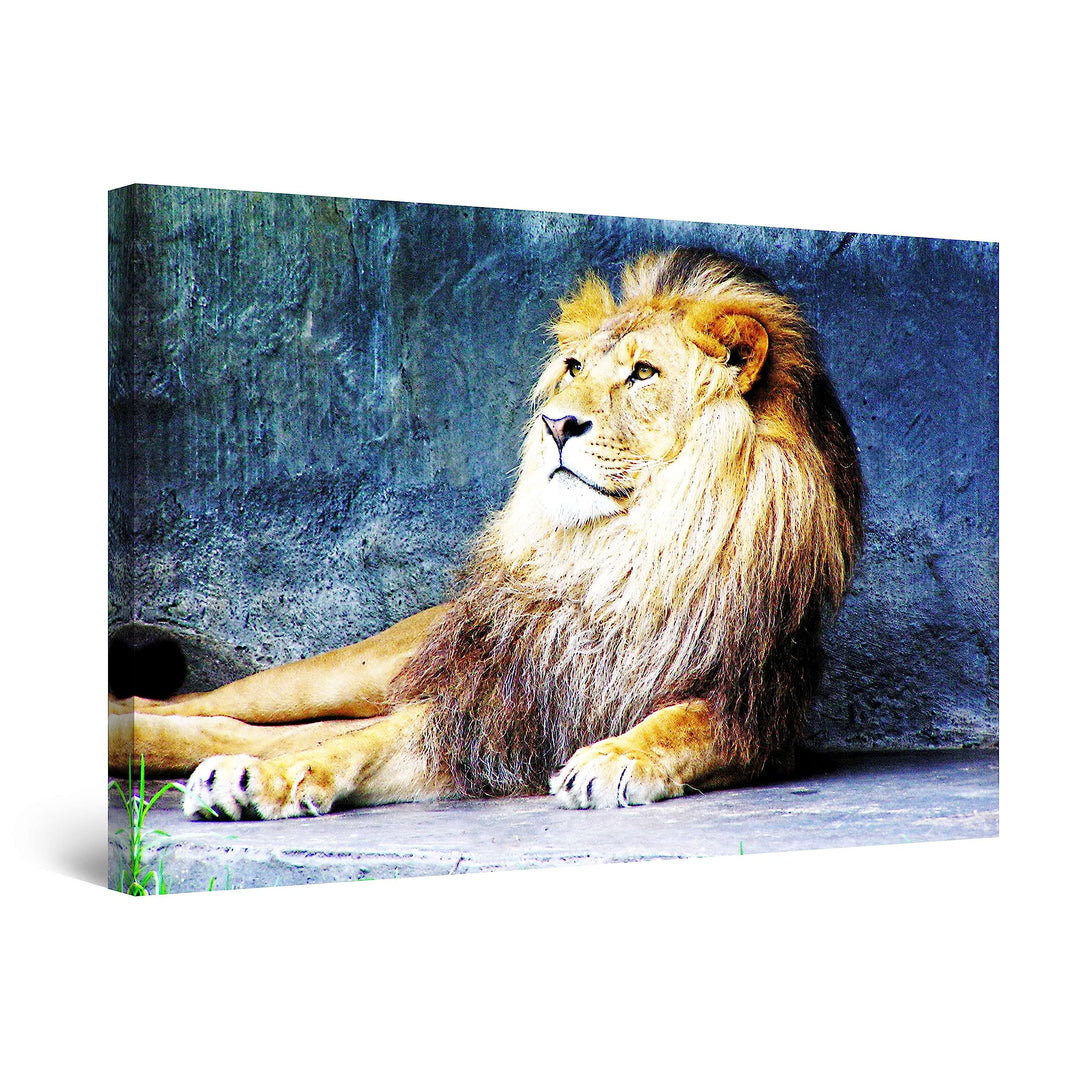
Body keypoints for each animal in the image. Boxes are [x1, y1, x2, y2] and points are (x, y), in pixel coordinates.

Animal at [110, 247, 864, 819]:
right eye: (575, 369)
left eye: (643, 373)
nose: (556, 423)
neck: (620, 554)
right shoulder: (485, 704)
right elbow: (348, 748)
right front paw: (251, 783)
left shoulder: (756, 711)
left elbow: (679, 724)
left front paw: (614, 757)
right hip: (359, 670)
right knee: (218, 708)